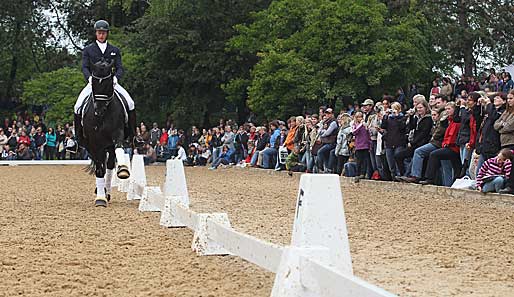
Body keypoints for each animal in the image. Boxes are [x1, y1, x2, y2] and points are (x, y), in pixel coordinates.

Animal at [81, 59, 131, 205]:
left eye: (108, 83)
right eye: (93, 83)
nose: (99, 110)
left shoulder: (117, 133)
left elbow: (119, 147)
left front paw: (123, 170)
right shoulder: (94, 142)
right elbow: (99, 168)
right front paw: (100, 199)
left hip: (108, 146)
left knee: (109, 165)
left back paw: (106, 192)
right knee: (102, 165)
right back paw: (101, 191)